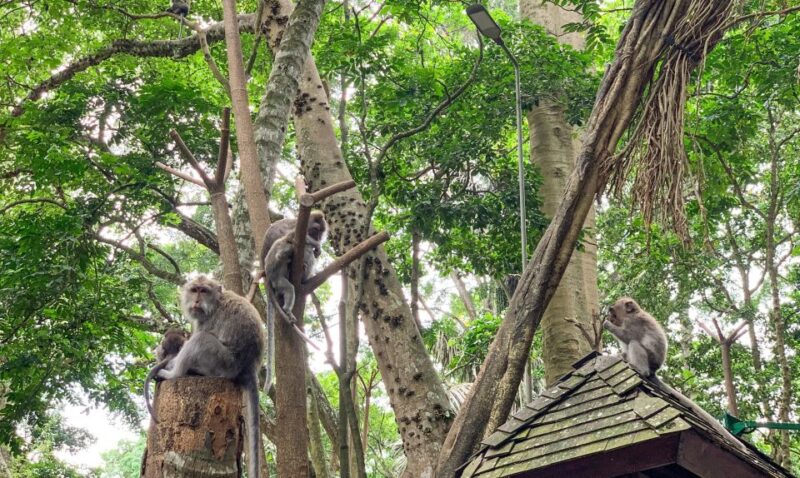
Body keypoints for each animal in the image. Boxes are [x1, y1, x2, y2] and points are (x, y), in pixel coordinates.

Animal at [158, 276, 265, 478]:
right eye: (194, 290)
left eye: (204, 291)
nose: (196, 301)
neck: (216, 302)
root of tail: (248, 367)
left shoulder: (207, 320)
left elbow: (197, 336)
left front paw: (167, 362)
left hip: (221, 361)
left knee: (200, 340)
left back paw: (173, 374)